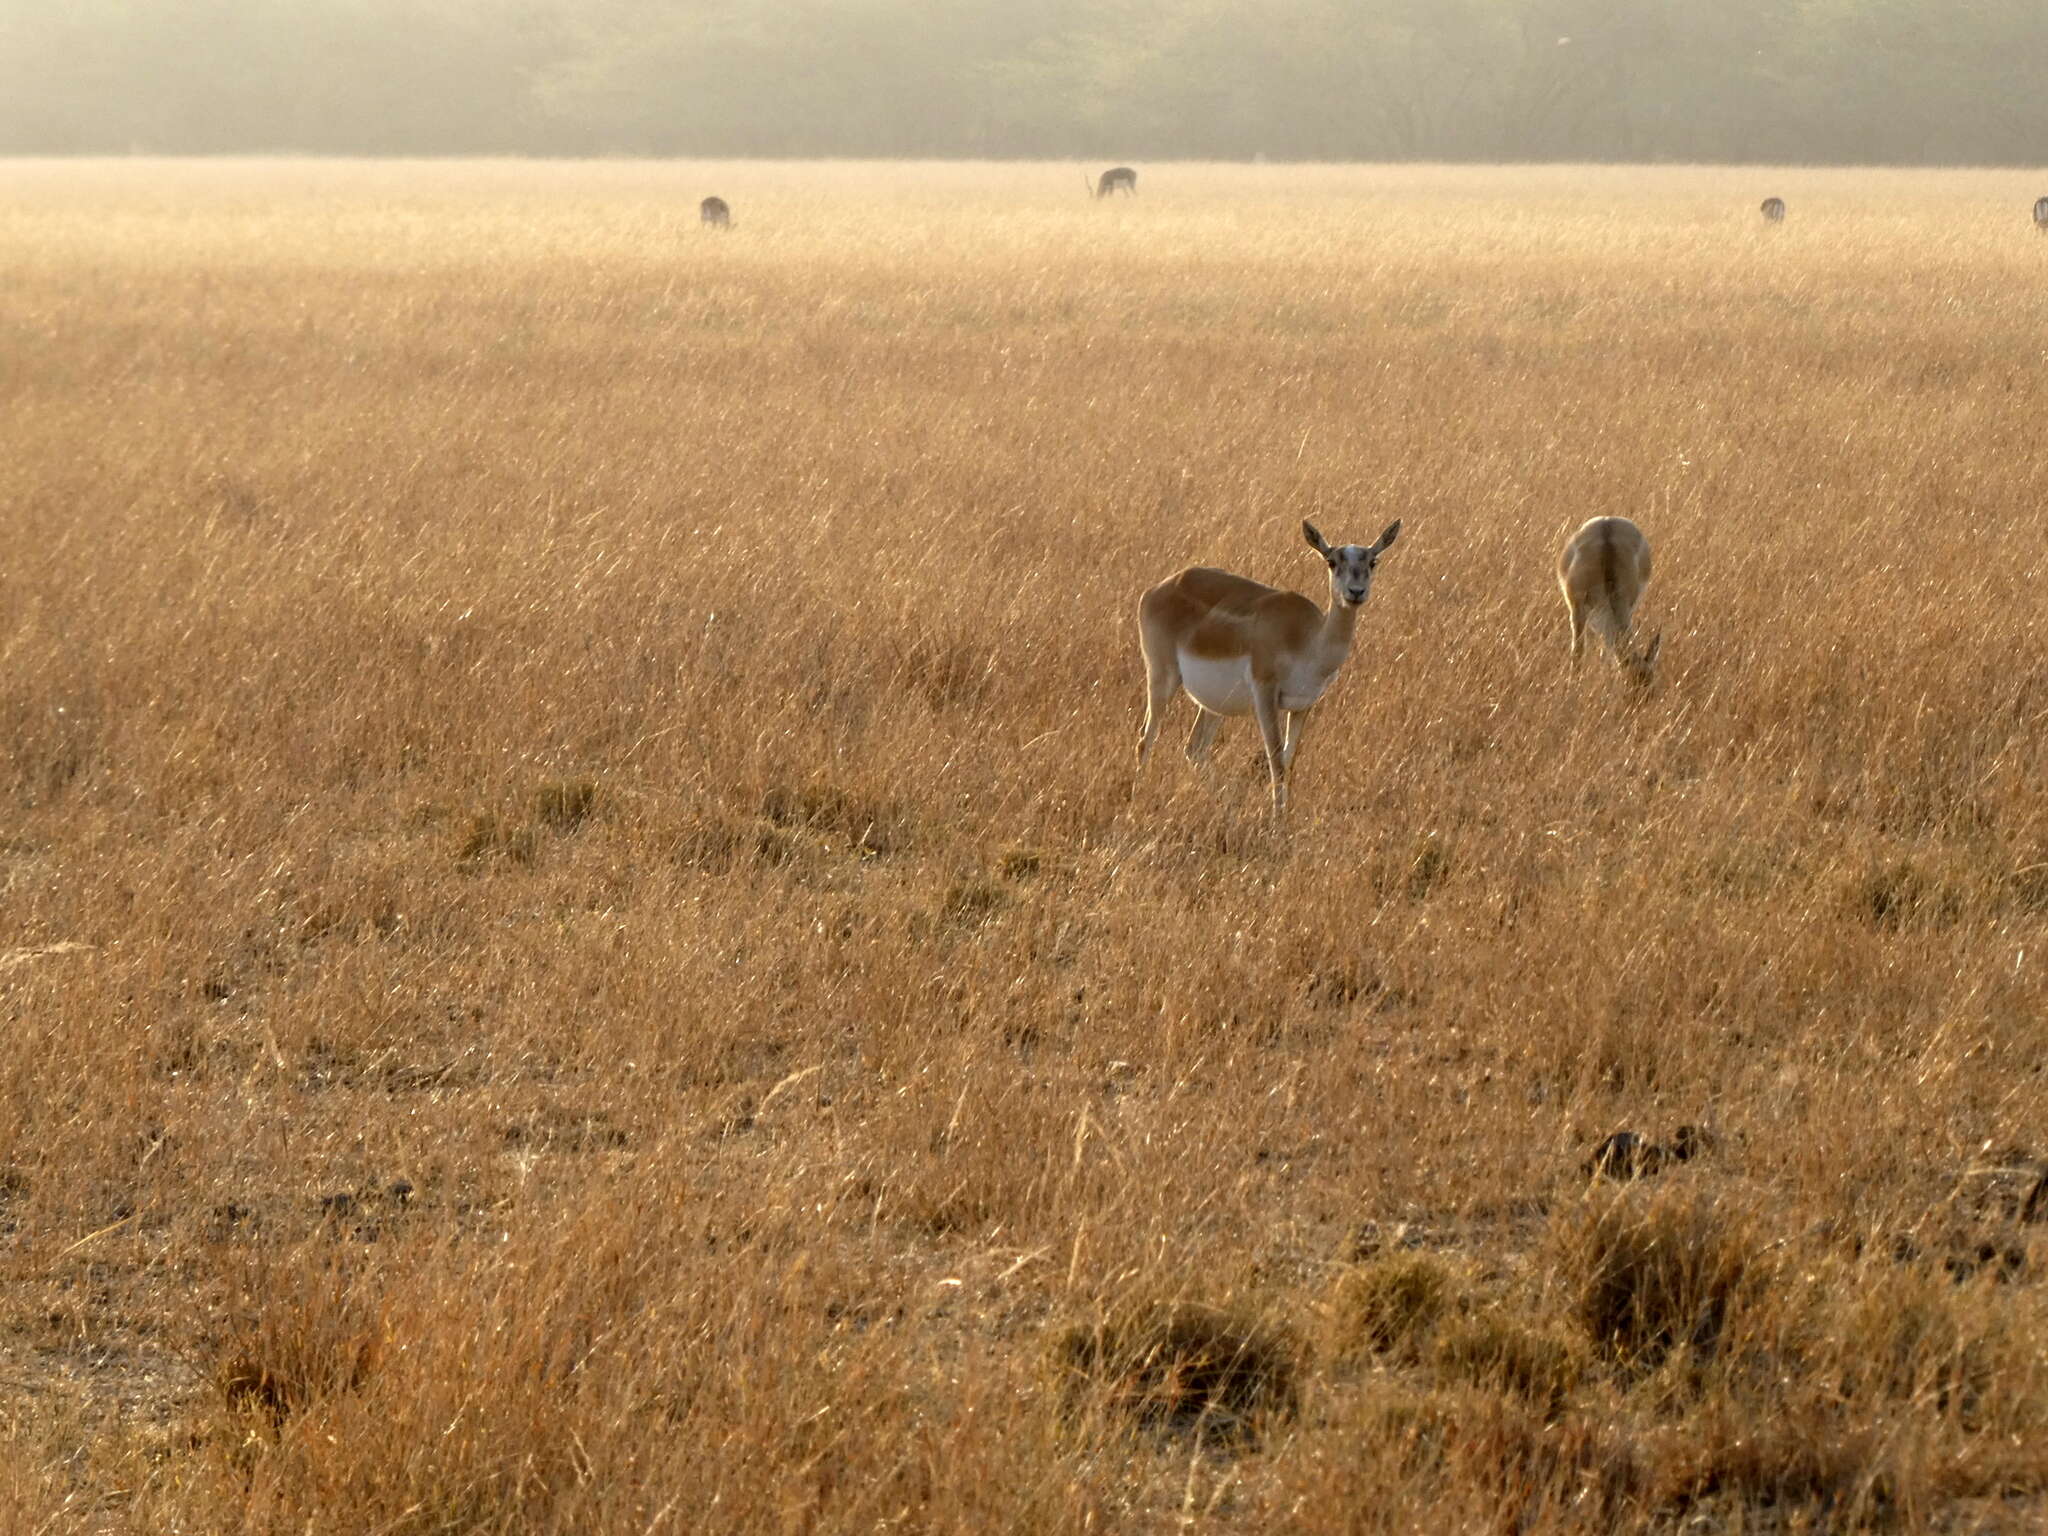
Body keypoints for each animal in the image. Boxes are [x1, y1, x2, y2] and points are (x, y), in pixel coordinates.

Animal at [1138, 520, 1409, 819]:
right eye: (1331, 561)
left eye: (1373, 561)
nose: (1356, 592)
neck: (1308, 641)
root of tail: (1159, 588)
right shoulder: (1265, 694)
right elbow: (1276, 761)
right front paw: (1277, 822)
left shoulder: (1303, 704)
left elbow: (1288, 761)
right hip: (1162, 677)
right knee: (1146, 740)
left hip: (1214, 705)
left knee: (1194, 749)